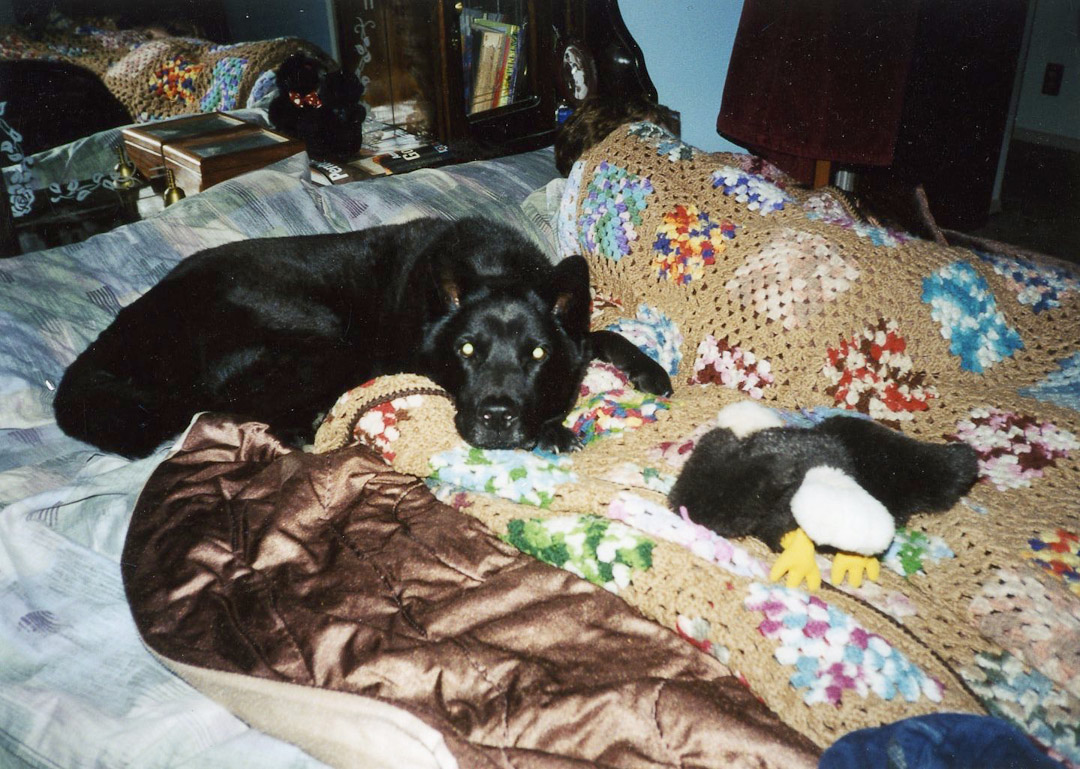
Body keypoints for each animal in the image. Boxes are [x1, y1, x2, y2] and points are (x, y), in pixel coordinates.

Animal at [54, 217, 672, 458]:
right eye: (466, 351)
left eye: (538, 354)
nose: (497, 418)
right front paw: (551, 429)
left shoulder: (574, 331)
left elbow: (599, 335)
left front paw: (649, 370)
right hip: (325, 338)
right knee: (244, 406)